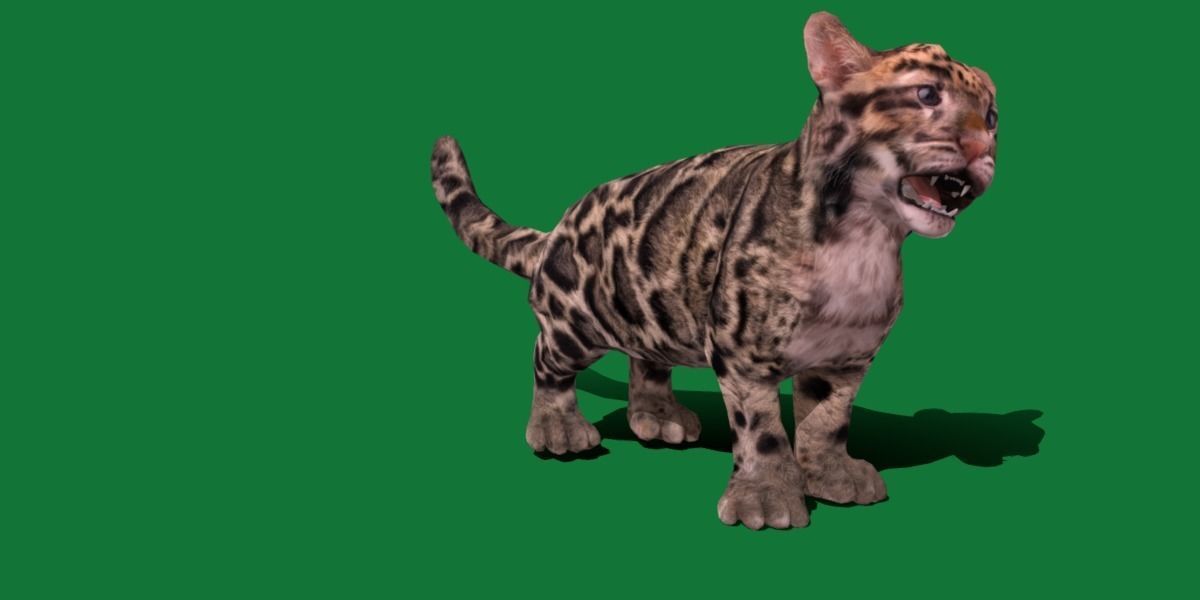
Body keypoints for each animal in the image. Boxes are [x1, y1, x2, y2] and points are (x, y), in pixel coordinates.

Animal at [429, 12, 998, 529]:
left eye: (992, 115)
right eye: (927, 95)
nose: (982, 148)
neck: (865, 239)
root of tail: (557, 232)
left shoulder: (844, 360)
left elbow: (828, 421)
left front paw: (832, 473)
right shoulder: (742, 355)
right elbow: (763, 430)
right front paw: (767, 498)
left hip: (652, 309)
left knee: (647, 361)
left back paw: (658, 417)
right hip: (577, 322)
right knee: (546, 359)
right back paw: (558, 429)